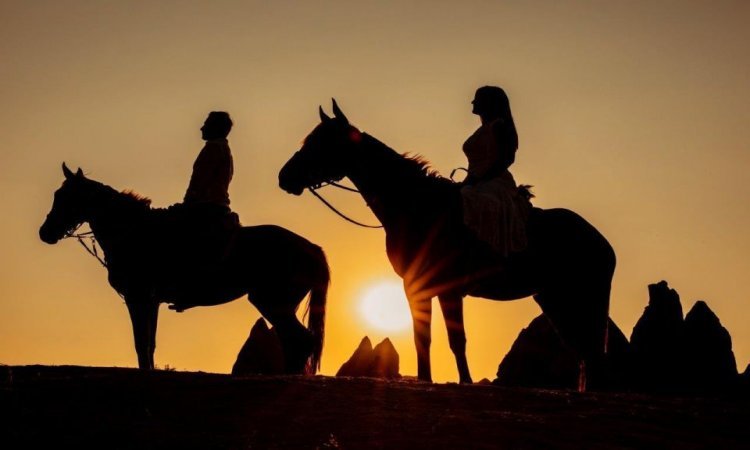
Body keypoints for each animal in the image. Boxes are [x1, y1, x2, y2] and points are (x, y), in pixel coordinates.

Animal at [40, 163, 328, 374]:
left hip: (271, 302)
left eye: (67, 197)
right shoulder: (150, 300)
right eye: (56, 195)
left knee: (300, 341)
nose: (45, 233)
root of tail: (311, 247)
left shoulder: (138, 297)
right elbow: (149, 344)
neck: (133, 233)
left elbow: (141, 342)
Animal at [282, 100, 616, 388]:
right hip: (554, 298)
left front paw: (464, 382)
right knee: (584, 351)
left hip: (582, 298)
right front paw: (425, 379)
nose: (284, 177)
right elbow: (423, 337)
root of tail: (601, 240)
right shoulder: (419, 287)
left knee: (592, 352)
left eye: (321, 142)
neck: (419, 207)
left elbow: (456, 340)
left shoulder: (447, 288)